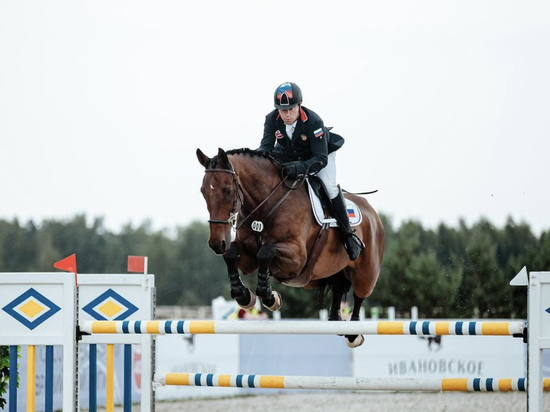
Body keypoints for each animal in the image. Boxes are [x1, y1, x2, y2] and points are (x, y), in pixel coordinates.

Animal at [196, 148, 386, 348]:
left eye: (228, 190)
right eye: (203, 191)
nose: (217, 243)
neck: (266, 206)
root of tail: (371, 212)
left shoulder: (297, 258)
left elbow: (266, 252)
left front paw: (270, 298)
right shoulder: (248, 257)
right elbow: (232, 254)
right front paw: (245, 296)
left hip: (366, 272)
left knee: (359, 295)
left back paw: (353, 333)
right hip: (334, 269)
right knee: (338, 287)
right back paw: (336, 320)